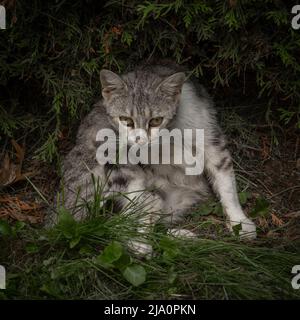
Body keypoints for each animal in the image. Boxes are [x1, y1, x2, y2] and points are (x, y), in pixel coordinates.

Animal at [53, 60, 255, 255]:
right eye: (125, 120)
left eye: (156, 120)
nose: (140, 140)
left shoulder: (211, 138)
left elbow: (226, 184)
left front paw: (240, 223)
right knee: (124, 220)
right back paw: (141, 243)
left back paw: (179, 236)